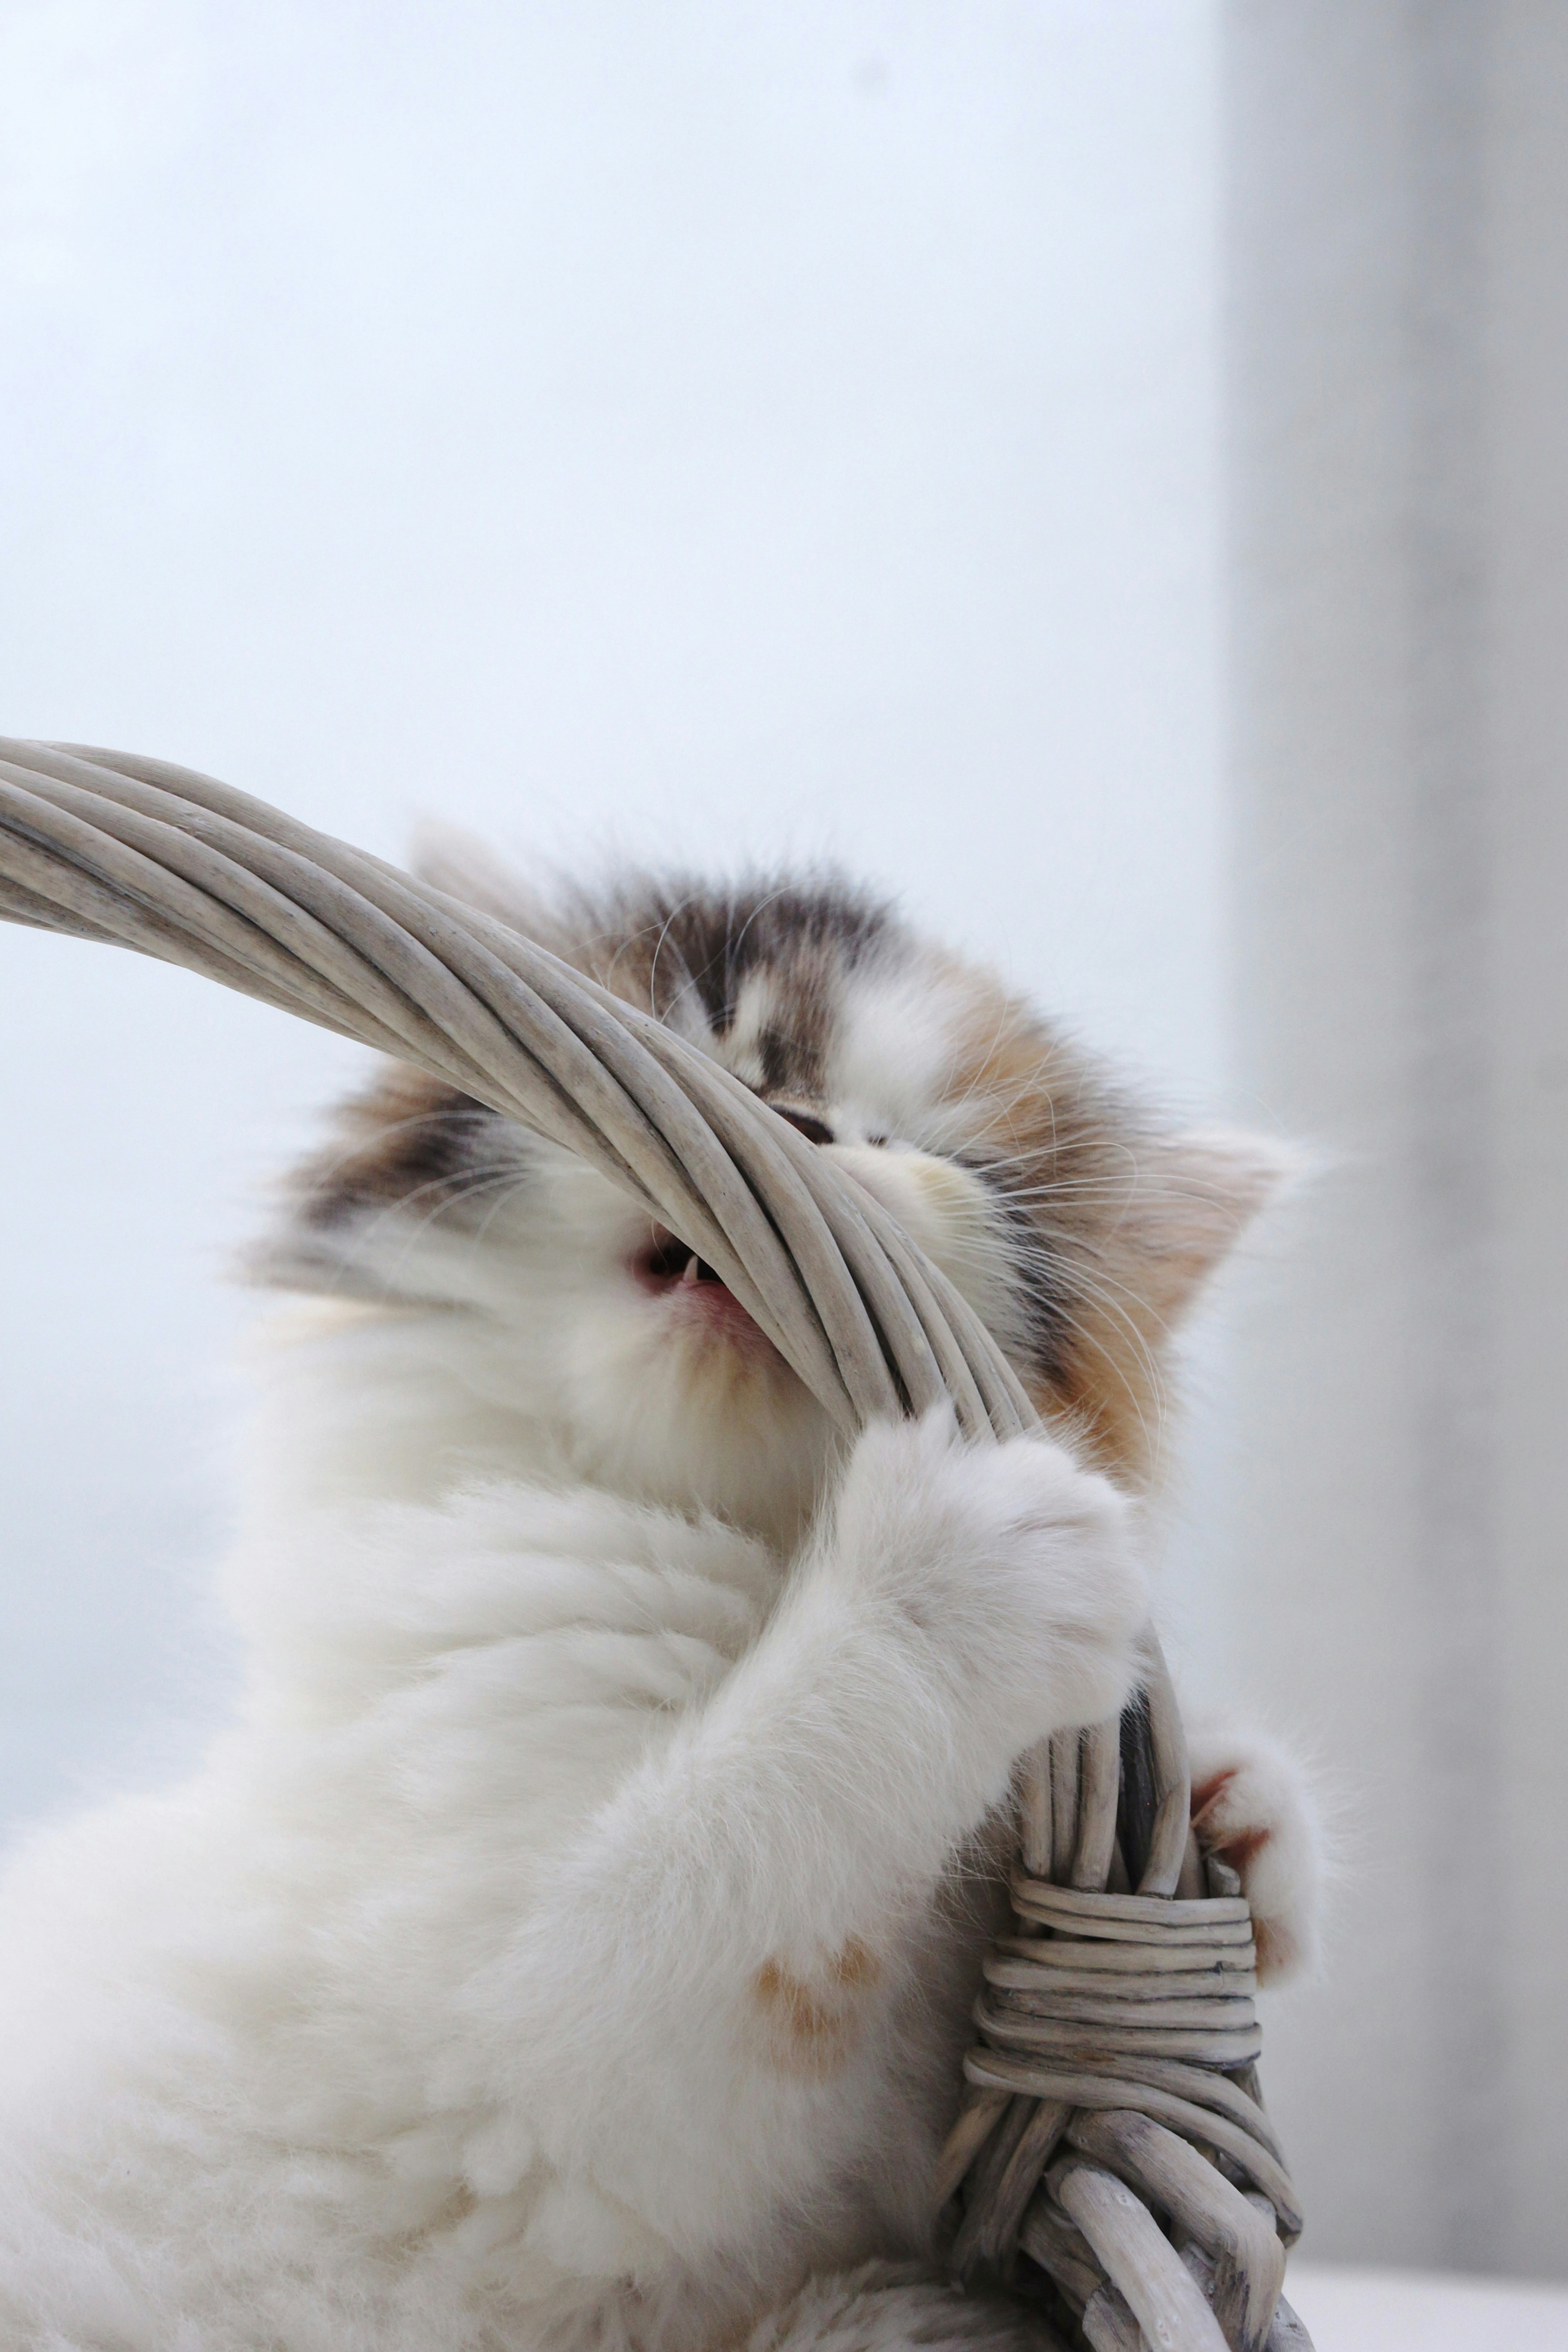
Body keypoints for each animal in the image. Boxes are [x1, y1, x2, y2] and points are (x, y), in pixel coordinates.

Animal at [0, 865, 1326, 2352]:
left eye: (934, 1149)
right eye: (727, 1050)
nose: (802, 1127)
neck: (713, 1555)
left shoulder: (918, 2172)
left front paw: (1243, 1812)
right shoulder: (509, 2056)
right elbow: (745, 1829)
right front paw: (961, 1562)